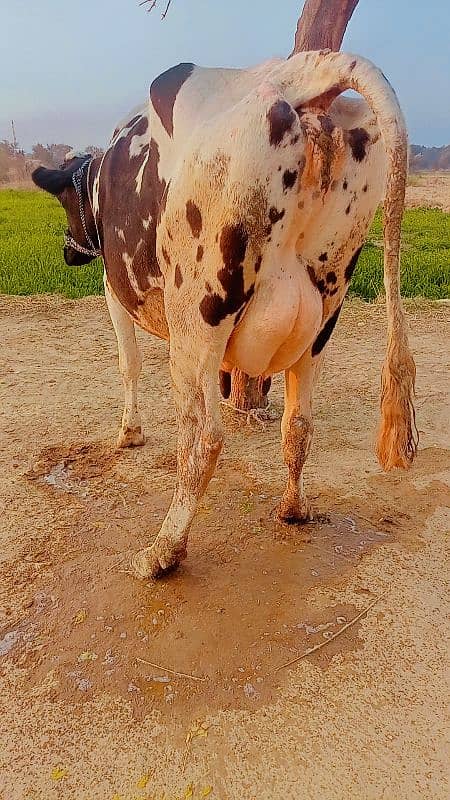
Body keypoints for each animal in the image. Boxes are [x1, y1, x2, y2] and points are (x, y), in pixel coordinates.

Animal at [32, 50, 418, 580]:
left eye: (66, 207)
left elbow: (128, 363)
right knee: (299, 423)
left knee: (203, 437)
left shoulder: (114, 288)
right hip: (323, 318)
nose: (69, 254)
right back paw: (293, 508)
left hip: (195, 319)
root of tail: (297, 75)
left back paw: (163, 550)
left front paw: (129, 433)